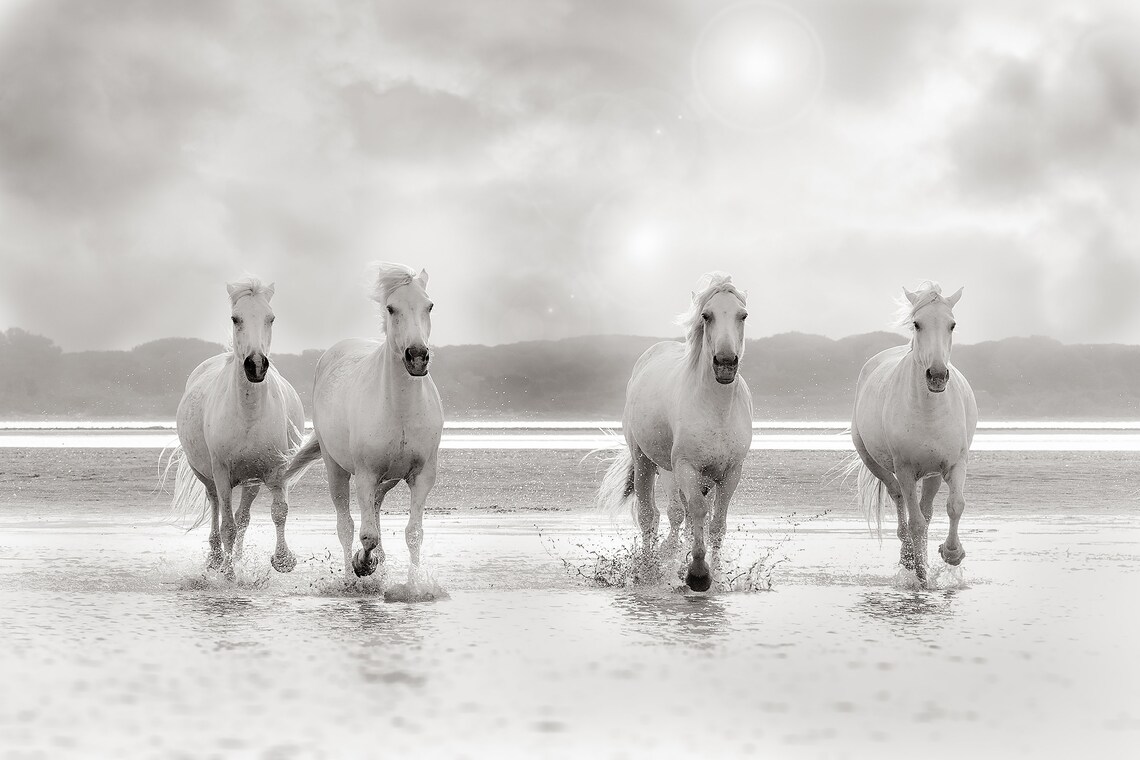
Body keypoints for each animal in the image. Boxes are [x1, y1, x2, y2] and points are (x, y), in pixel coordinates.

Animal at [170, 278, 305, 577]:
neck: (249, 415)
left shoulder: (275, 470)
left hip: (250, 480)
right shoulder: (221, 473)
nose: (256, 365)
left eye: (271, 318)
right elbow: (228, 526)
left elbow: (278, 511)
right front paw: (229, 573)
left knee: (243, 516)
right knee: (216, 507)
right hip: (207, 476)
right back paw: (216, 558)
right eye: (235, 318)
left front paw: (283, 559)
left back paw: (238, 557)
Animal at [284, 263, 443, 584]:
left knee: (377, 508)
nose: (417, 357)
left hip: (390, 477)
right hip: (336, 468)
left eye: (429, 305)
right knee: (345, 525)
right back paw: (350, 576)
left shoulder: (422, 476)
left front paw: (413, 585)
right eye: (391, 308)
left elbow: (413, 533)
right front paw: (363, 565)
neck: (401, 410)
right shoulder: (366, 475)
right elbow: (367, 535)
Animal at [596, 272, 754, 591]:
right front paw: (697, 574)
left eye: (742, 315)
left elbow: (717, 523)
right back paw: (648, 571)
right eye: (706, 315)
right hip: (645, 461)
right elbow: (697, 510)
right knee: (649, 516)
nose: (725, 363)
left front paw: (717, 574)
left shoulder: (731, 472)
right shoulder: (686, 467)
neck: (716, 409)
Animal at [850, 283, 978, 586]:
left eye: (952, 324)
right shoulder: (906, 469)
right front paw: (921, 574)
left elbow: (955, 506)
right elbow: (915, 522)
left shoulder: (955, 464)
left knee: (927, 509)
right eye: (917, 324)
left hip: (932, 474)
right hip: (874, 461)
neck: (928, 411)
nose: (937, 375)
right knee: (898, 497)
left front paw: (952, 553)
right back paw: (908, 556)